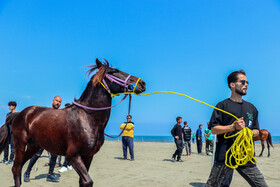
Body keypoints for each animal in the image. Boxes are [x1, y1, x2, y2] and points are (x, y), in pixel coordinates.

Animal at [0, 58, 145, 186]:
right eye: (114, 71)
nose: (142, 83)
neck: (87, 119)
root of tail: (19, 114)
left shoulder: (88, 157)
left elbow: (82, 182)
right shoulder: (73, 156)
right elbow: (87, 181)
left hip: (33, 146)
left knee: (20, 166)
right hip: (20, 144)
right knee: (16, 168)